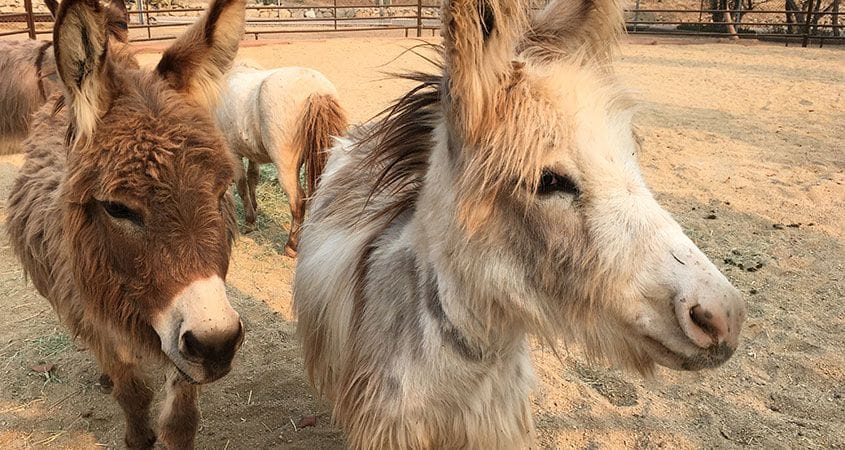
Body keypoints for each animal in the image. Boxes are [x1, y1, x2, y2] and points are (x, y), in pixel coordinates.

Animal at [221, 60, 350, 256]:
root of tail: (315, 90)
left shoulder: (234, 154)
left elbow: (242, 186)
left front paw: (250, 221)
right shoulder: (252, 154)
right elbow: (252, 179)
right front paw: (255, 209)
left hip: (286, 168)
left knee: (297, 200)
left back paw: (292, 245)